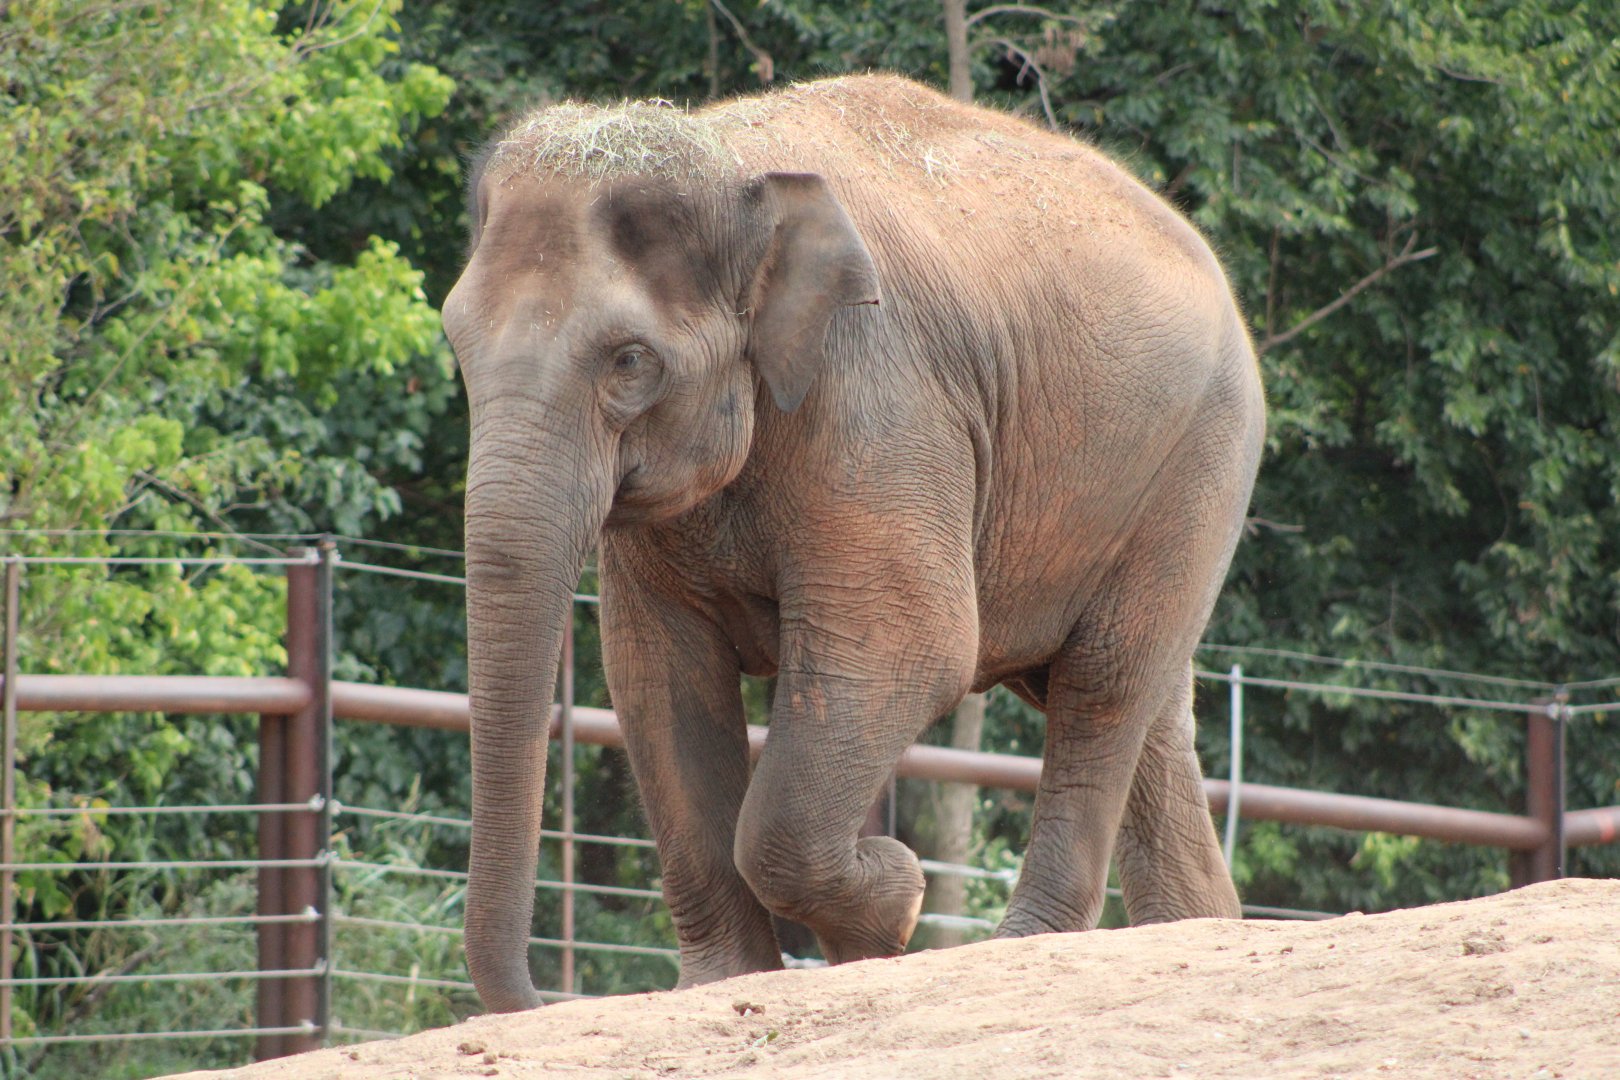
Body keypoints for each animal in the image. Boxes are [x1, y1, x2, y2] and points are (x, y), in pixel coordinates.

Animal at [443, 74, 1264, 1013]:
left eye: (630, 361)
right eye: (454, 343)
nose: (538, 998)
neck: (730, 157)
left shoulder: (879, 394)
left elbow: (914, 643)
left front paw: (892, 905)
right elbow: (656, 672)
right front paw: (729, 978)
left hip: (1200, 459)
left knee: (1103, 683)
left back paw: (1023, 942)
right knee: (1146, 703)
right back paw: (1197, 930)